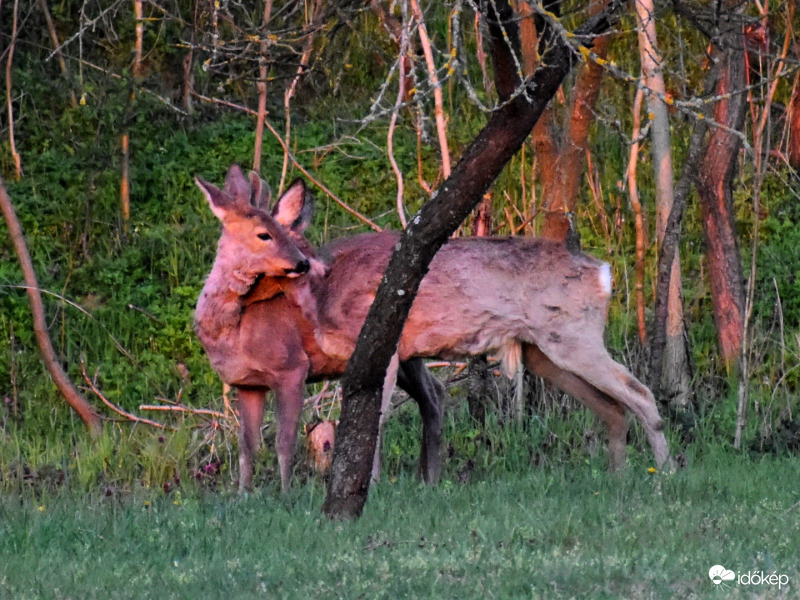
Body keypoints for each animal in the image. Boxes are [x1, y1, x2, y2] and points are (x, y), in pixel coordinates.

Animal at [194, 165, 444, 492]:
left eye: (282, 231)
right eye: (264, 234)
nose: (302, 264)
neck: (236, 332)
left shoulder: (291, 367)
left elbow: (284, 441)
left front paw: (286, 493)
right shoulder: (247, 384)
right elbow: (246, 447)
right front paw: (243, 495)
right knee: (434, 393)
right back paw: (428, 478)